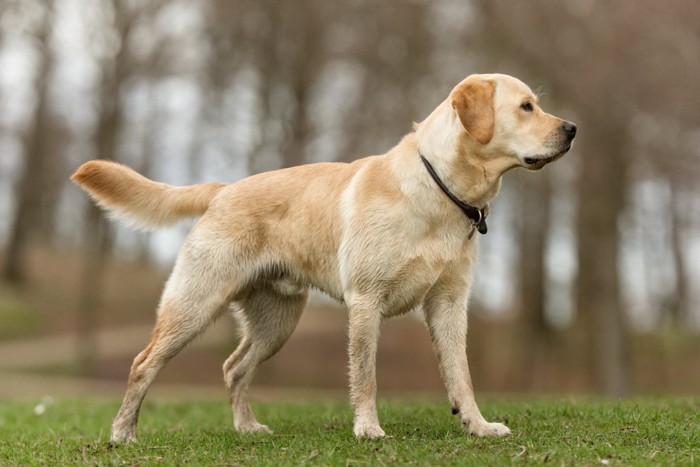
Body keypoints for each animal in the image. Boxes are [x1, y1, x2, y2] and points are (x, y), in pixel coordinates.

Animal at [71, 73, 576, 442]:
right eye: (526, 107)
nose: (572, 129)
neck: (441, 192)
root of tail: (224, 189)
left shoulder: (449, 304)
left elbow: (461, 375)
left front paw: (478, 425)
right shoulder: (366, 300)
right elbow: (366, 376)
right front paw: (368, 429)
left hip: (277, 322)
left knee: (234, 368)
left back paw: (247, 428)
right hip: (194, 304)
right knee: (143, 363)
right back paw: (122, 434)